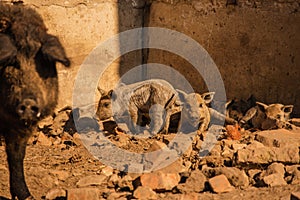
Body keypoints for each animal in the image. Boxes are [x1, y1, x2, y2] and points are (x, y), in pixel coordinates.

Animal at [0, 2, 69, 199]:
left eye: (44, 63)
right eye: (12, 64)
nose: (29, 102)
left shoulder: (20, 128)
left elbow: (17, 156)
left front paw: (27, 196)